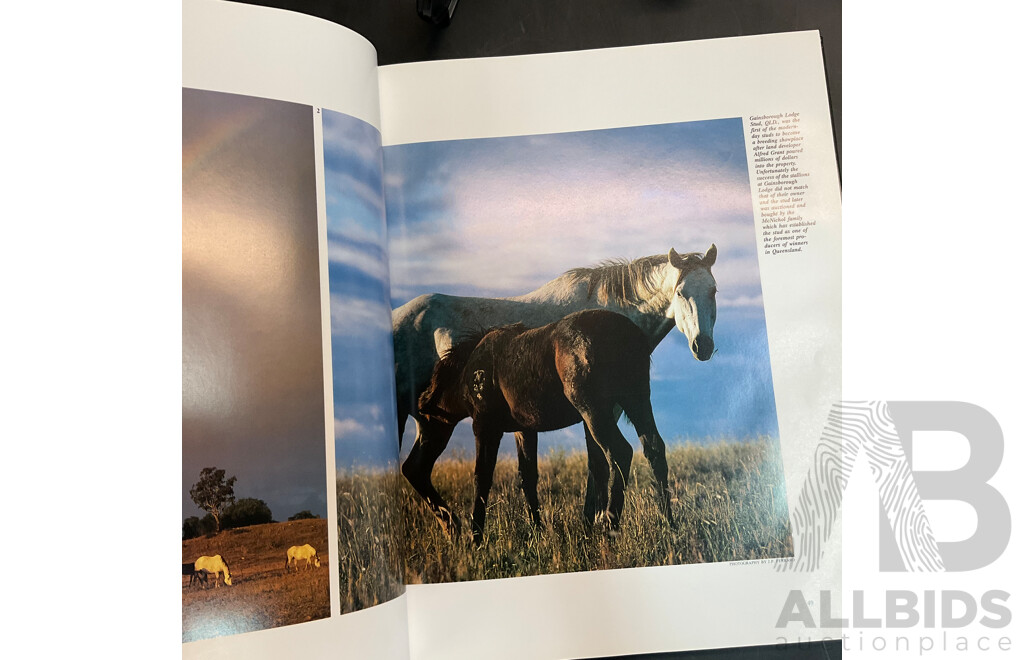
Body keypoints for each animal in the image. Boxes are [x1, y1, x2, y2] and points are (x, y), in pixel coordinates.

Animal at [418, 309, 673, 544]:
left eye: (425, 421)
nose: (420, 450)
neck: (470, 370)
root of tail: (625, 331)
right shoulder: (524, 430)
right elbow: (528, 477)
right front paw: (537, 529)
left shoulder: (485, 427)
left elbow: (482, 477)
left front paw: (476, 538)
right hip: (636, 401)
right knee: (654, 449)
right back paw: (667, 522)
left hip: (594, 411)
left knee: (620, 453)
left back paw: (611, 526)